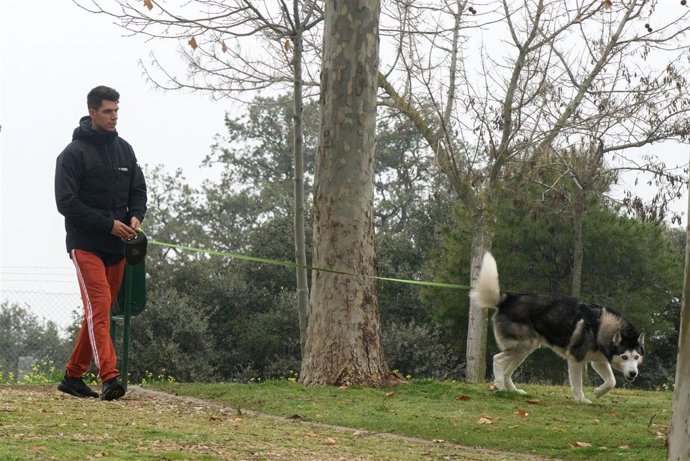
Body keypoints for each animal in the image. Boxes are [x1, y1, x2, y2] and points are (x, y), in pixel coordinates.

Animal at [470, 252, 644, 402]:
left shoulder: (599, 361)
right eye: (624, 357)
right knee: (497, 360)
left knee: (507, 371)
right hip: (522, 346)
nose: (633, 373)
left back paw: (514, 391)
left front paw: (598, 392)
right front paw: (581, 400)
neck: (599, 327)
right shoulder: (575, 358)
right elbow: (577, 383)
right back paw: (499, 386)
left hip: (525, 350)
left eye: (636, 357)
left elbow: (611, 382)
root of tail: (507, 299)